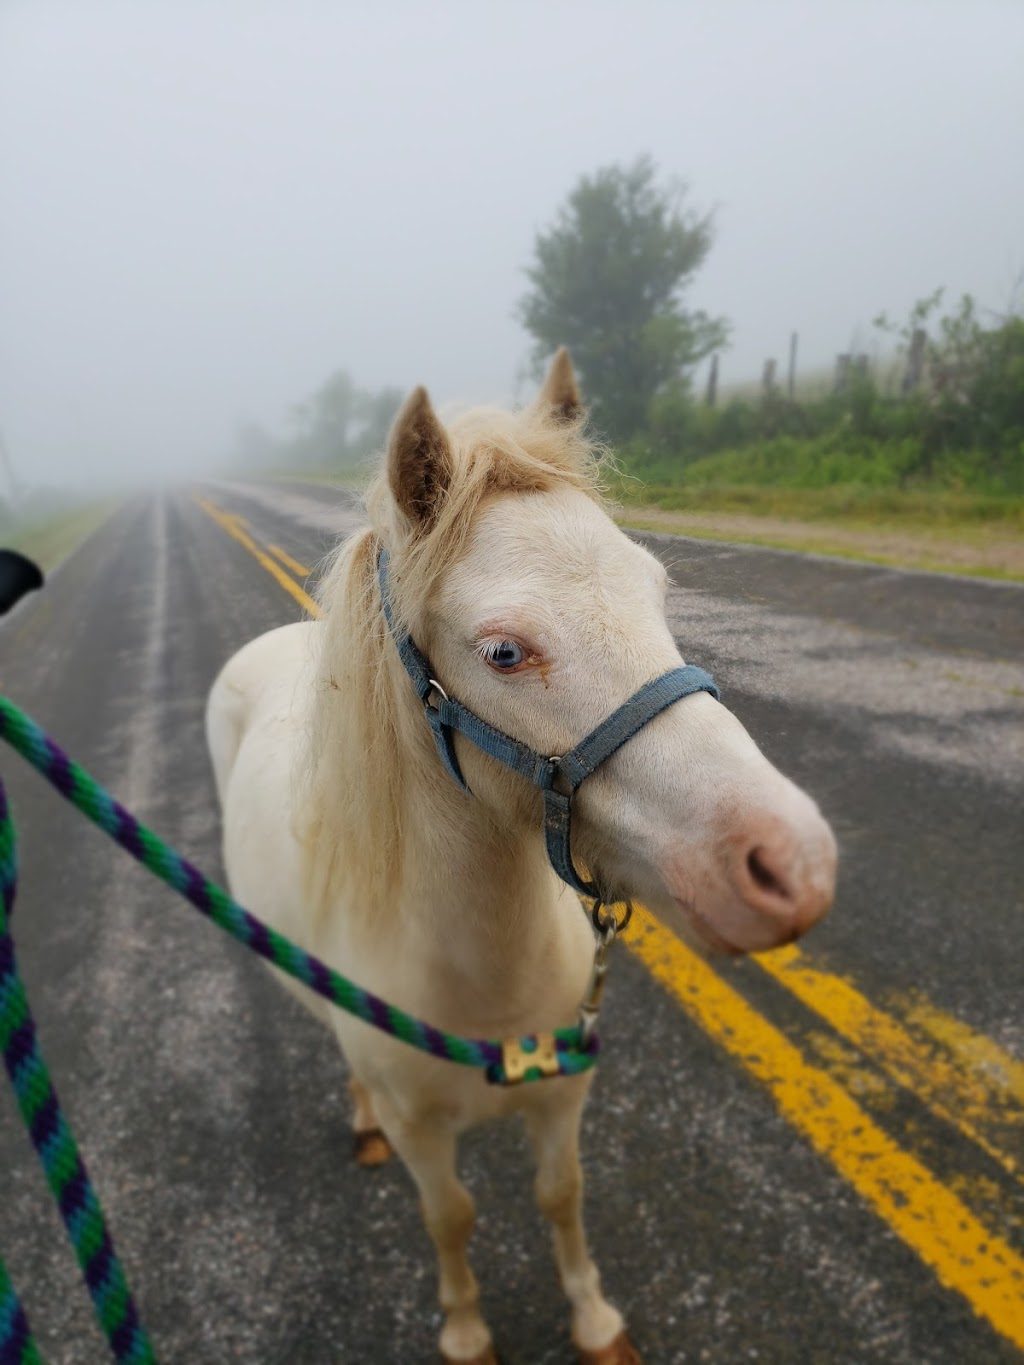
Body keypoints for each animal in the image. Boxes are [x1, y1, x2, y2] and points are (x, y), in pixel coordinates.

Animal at [206, 354, 835, 1365]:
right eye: (504, 651)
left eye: (657, 594)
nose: (792, 863)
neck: (478, 978)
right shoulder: (427, 1134)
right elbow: (451, 1217)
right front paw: (467, 1330)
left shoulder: (561, 1097)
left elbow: (560, 1196)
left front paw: (594, 1319)